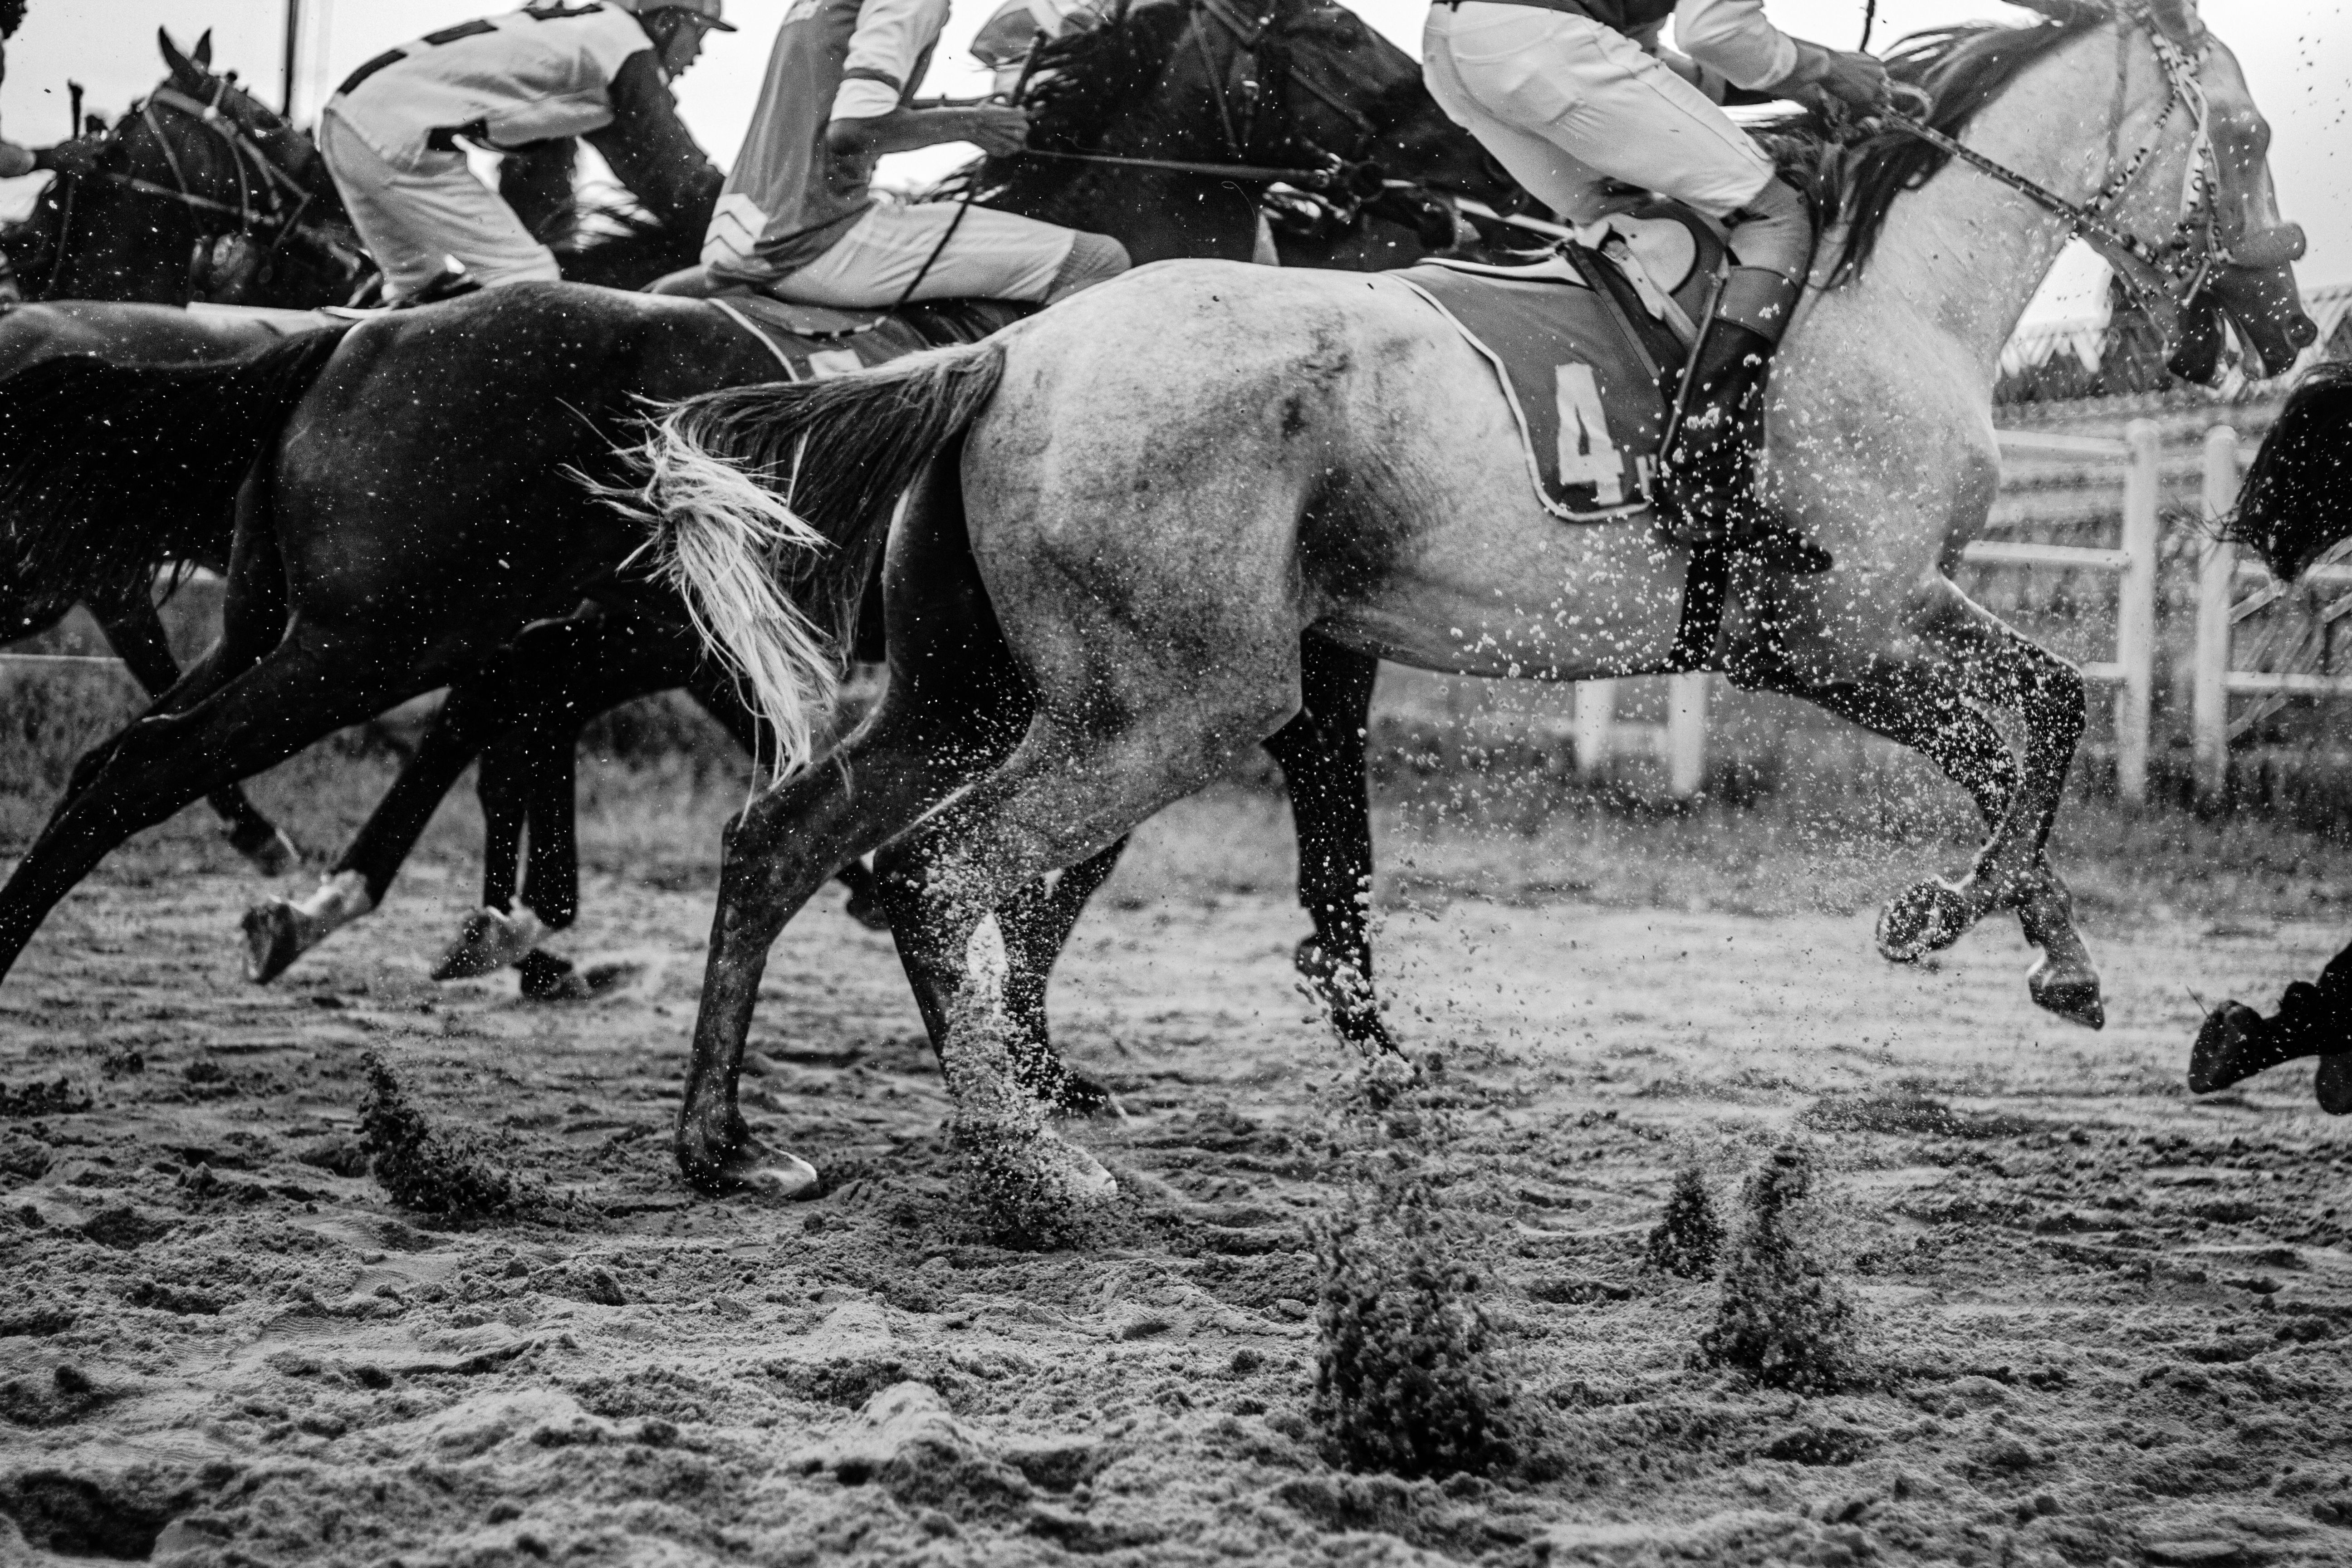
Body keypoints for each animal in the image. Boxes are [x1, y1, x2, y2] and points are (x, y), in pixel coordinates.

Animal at [0, 0, 1520, 1189]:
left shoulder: (655, 640)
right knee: (149, 764)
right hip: (379, 632)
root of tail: (349, 339)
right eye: (1335, 31)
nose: (1464, 170)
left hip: (308, 620)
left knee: (128, 754)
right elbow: (1285, 847)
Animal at [631, 0, 2317, 1211]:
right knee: (937, 868)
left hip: (970, 689)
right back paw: (1031, 1162)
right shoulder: (1811, 637)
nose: (2286, 322)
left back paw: (729, 1140)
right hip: (1183, 698)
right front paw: (1948, 911)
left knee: (787, 835)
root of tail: (1011, 350)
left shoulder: (1900, 601)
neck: (1886, 293)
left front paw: (2047, 947)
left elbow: (2045, 707)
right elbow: (2007, 731)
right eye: (2242, 137)